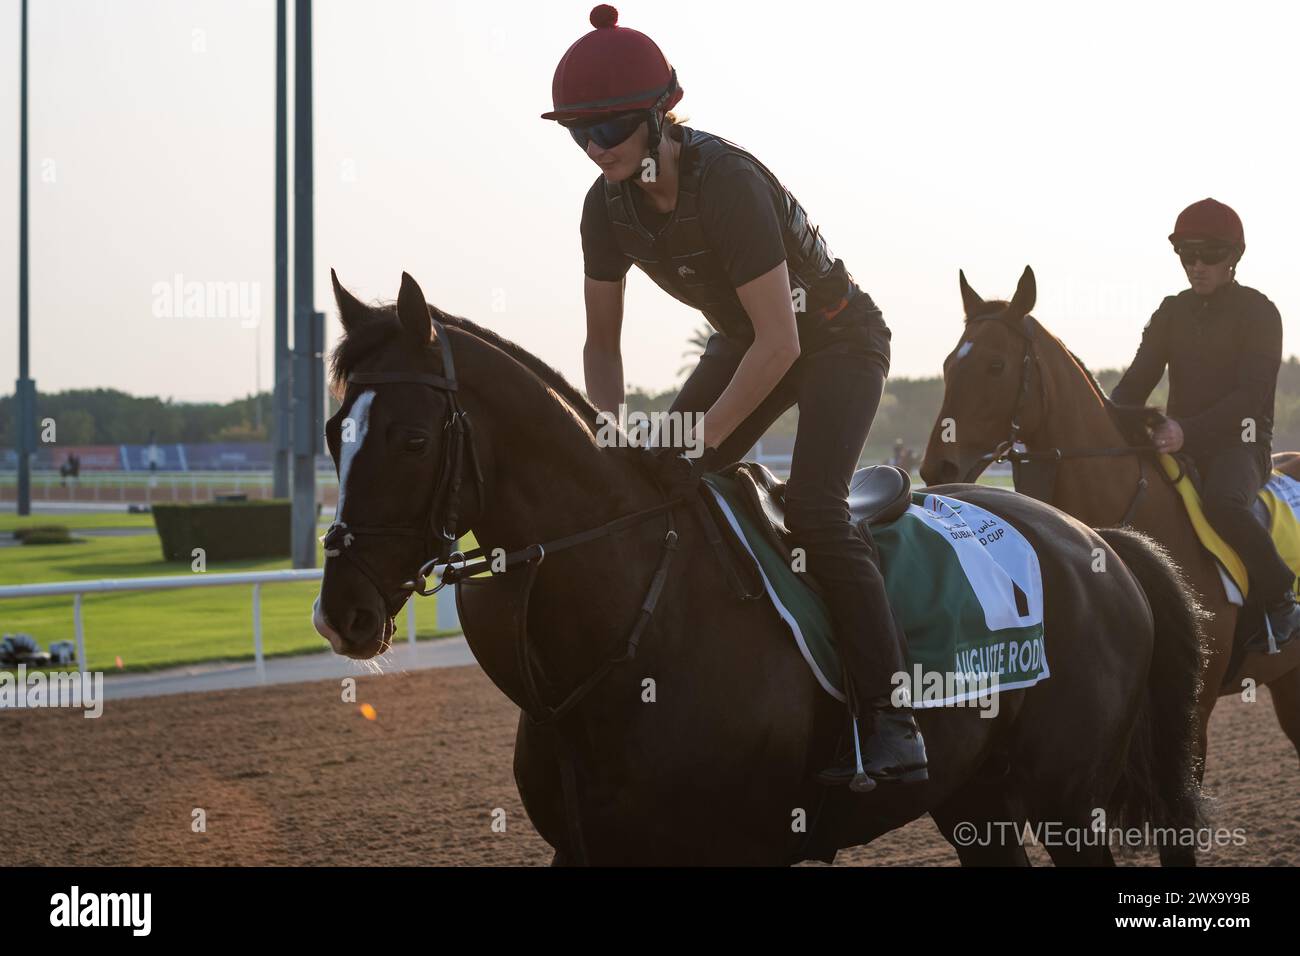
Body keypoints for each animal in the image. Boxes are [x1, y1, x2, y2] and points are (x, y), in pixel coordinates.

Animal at [317, 270, 1206, 868]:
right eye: (333, 432)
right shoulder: (587, 849)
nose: (340, 609)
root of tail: (1097, 540)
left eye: (411, 438)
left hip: (1068, 804)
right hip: (974, 801)